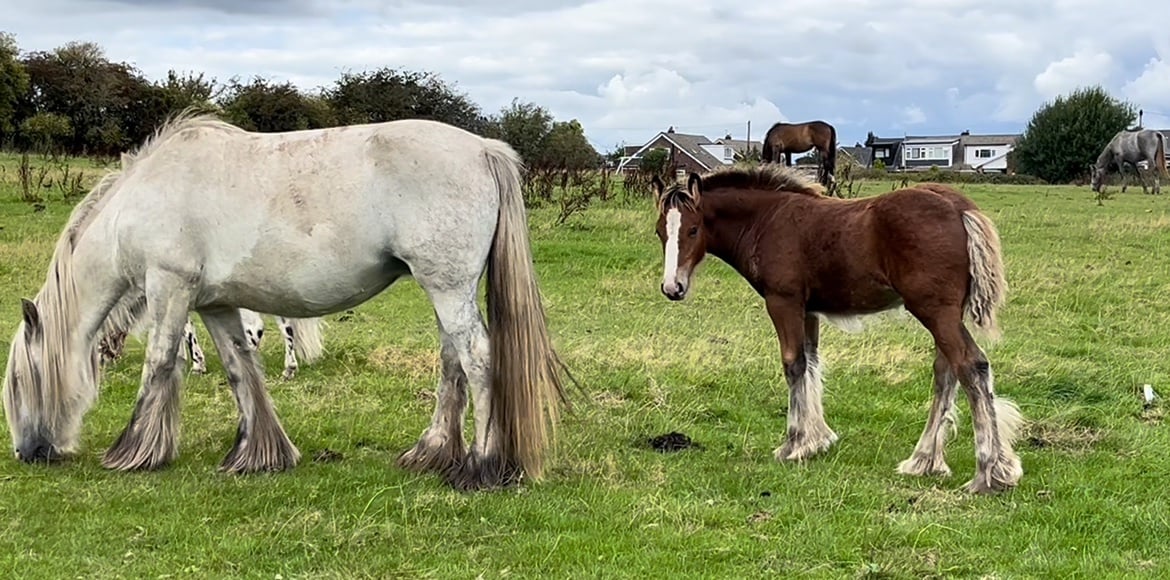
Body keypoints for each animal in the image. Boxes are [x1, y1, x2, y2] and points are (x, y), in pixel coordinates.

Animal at [3, 109, 568, 491]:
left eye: (18, 383)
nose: (28, 452)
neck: (144, 199)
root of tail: (485, 149)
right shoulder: (214, 305)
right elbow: (241, 370)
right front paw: (259, 454)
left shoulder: (169, 287)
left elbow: (161, 363)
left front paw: (134, 452)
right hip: (443, 290)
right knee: (453, 362)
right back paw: (430, 454)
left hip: (447, 288)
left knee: (478, 361)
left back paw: (482, 466)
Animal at [650, 165, 1024, 494]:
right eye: (660, 231)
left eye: (693, 230)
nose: (672, 287)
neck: (766, 221)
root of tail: (961, 208)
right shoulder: (808, 309)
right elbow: (811, 363)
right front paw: (818, 440)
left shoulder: (783, 301)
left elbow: (793, 364)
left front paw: (794, 445)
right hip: (944, 313)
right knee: (946, 372)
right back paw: (924, 461)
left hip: (934, 311)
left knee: (971, 366)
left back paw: (989, 473)